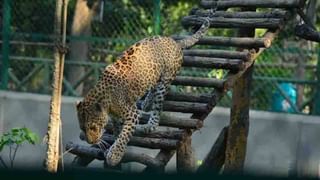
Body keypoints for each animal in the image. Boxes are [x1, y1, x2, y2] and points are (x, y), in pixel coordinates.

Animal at [75, 17, 210, 167]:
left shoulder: (132, 113)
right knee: (153, 88)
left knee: (158, 105)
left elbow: (124, 136)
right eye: (82, 128)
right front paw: (113, 146)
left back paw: (150, 124)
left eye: (93, 127)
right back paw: (147, 102)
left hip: (165, 80)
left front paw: (115, 155)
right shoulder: (116, 117)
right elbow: (117, 131)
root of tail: (173, 41)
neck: (106, 102)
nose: (91, 142)